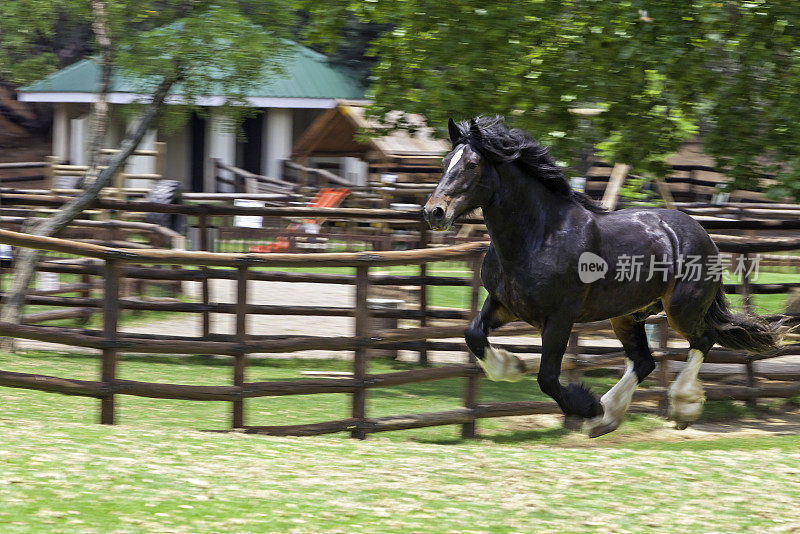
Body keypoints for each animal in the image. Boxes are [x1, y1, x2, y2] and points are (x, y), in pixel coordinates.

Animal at [424, 115, 780, 438]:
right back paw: (607, 418)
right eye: (443, 162)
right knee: (644, 361)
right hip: (627, 315)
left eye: (472, 165)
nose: (434, 212)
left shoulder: (559, 317)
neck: (539, 236)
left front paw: (587, 406)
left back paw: (678, 408)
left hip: (682, 309)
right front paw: (512, 367)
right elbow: (473, 335)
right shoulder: (505, 304)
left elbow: (547, 377)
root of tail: (702, 233)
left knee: (702, 341)